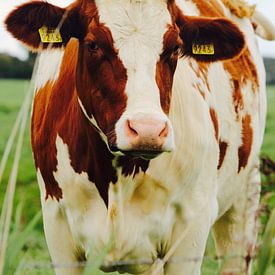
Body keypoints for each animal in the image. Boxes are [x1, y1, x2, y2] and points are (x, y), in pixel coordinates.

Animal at [4, 0, 275, 274]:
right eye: (93, 44)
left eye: (175, 48)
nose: (148, 130)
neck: (116, 177)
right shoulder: (57, 229)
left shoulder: (191, 228)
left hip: (244, 200)